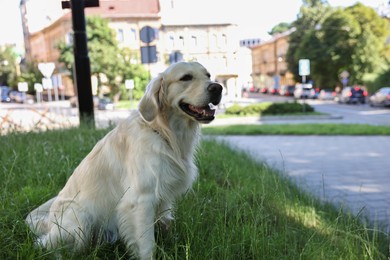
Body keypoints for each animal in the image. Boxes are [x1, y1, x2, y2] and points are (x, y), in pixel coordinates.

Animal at [25, 62, 222, 258]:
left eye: (208, 75)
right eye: (186, 78)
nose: (218, 87)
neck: (163, 132)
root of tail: (49, 222)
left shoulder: (164, 196)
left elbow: (165, 222)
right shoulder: (141, 199)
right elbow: (146, 243)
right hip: (79, 220)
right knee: (46, 244)